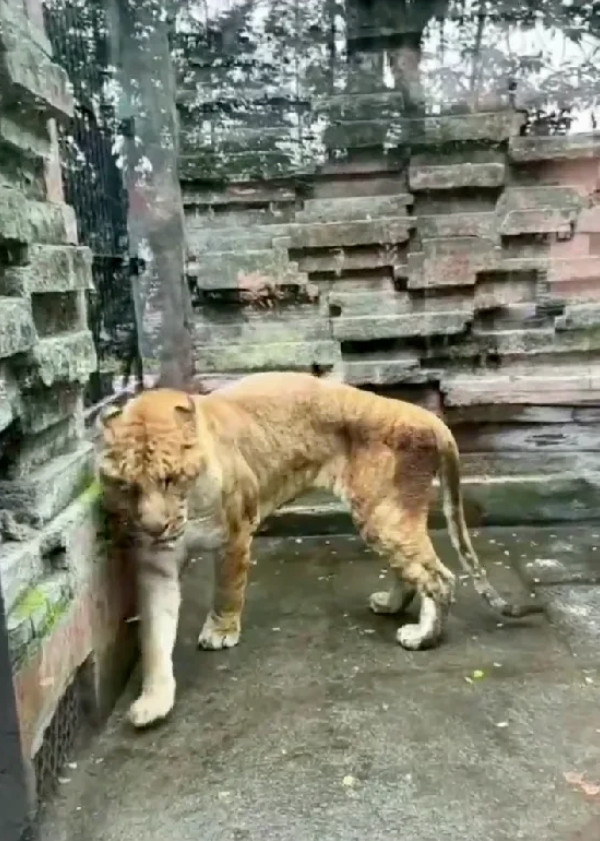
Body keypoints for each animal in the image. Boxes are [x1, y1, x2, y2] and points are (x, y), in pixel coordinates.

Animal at [97, 370, 540, 724]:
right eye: (127, 486)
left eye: (170, 479)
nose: (154, 527)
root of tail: (428, 417)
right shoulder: (157, 563)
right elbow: (154, 636)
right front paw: (153, 702)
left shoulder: (236, 533)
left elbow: (227, 590)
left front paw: (220, 633)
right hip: (385, 516)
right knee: (414, 571)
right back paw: (391, 605)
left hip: (383, 514)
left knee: (441, 578)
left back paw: (421, 637)